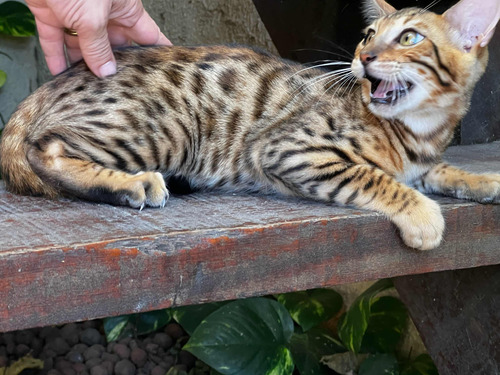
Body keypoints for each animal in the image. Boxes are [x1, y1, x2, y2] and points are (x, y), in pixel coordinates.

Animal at [0, 0, 500, 253]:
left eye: (410, 37)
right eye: (368, 34)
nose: (364, 56)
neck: (418, 130)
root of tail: (59, 80)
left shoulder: (423, 162)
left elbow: (442, 170)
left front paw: (482, 179)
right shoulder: (289, 148)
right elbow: (376, 178)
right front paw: (422, 214)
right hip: (168, 127)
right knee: (44, 149)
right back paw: (132, 183)